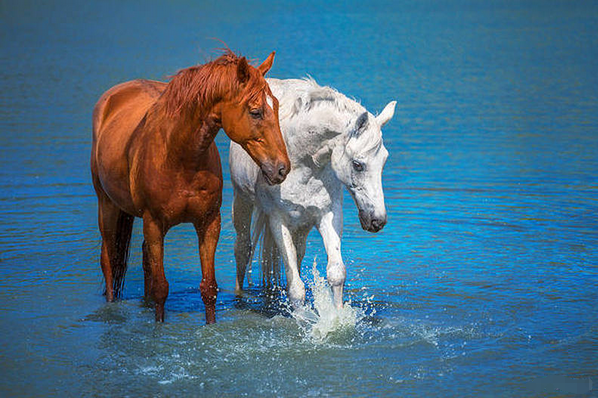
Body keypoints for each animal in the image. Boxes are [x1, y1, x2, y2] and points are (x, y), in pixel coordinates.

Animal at [90, 50, 292, 324]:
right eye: (255, 112)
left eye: (277, 106)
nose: (282, 168)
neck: (180, 156)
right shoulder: (154, 223)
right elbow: (161, 289)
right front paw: (159, 327)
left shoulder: (208, 223)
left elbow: (208, 288)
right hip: (108, 207)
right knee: (109, 260)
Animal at [232, 77, 396, 308]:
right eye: (357, 165)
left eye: (384, 161)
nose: (377, 221)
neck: (301, 160)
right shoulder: (277, 220)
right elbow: (296, 288)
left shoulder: (327, 214)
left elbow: (336, 273)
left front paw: (337, 317)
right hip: (242, 202)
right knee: (242, 249)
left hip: (302, 226)